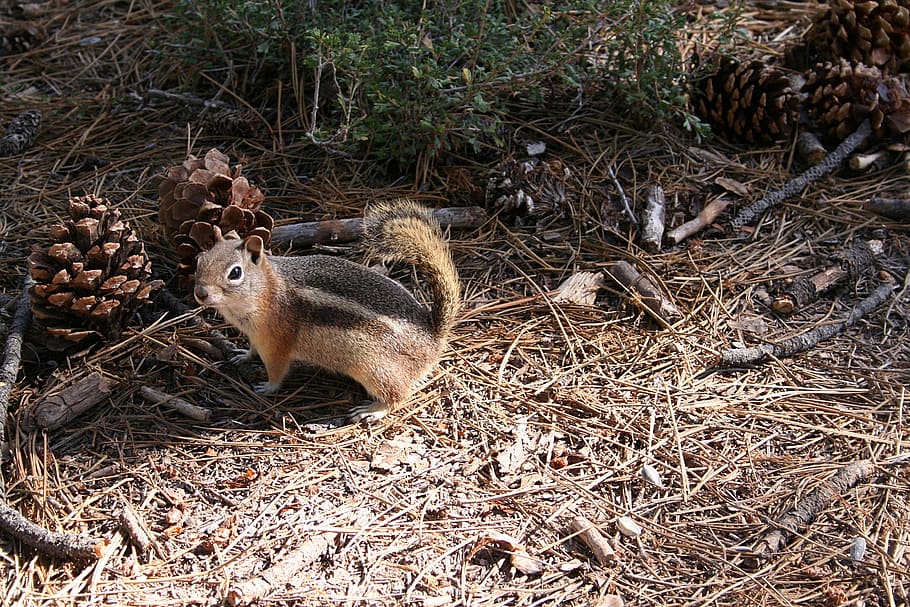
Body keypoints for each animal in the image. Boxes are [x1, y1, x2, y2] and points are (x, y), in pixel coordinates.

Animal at [193, 200, 460, 422]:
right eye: (199, 260)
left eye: (235, 273)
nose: (200, 293)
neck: (267, 289)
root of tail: (432, 335)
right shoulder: (255, 335)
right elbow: (251, 349)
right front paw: (242, 355)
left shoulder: (277, 343)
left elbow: (277, 370)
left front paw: (267, 387)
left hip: (375, 369)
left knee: (397, 396)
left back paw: (372, 410)